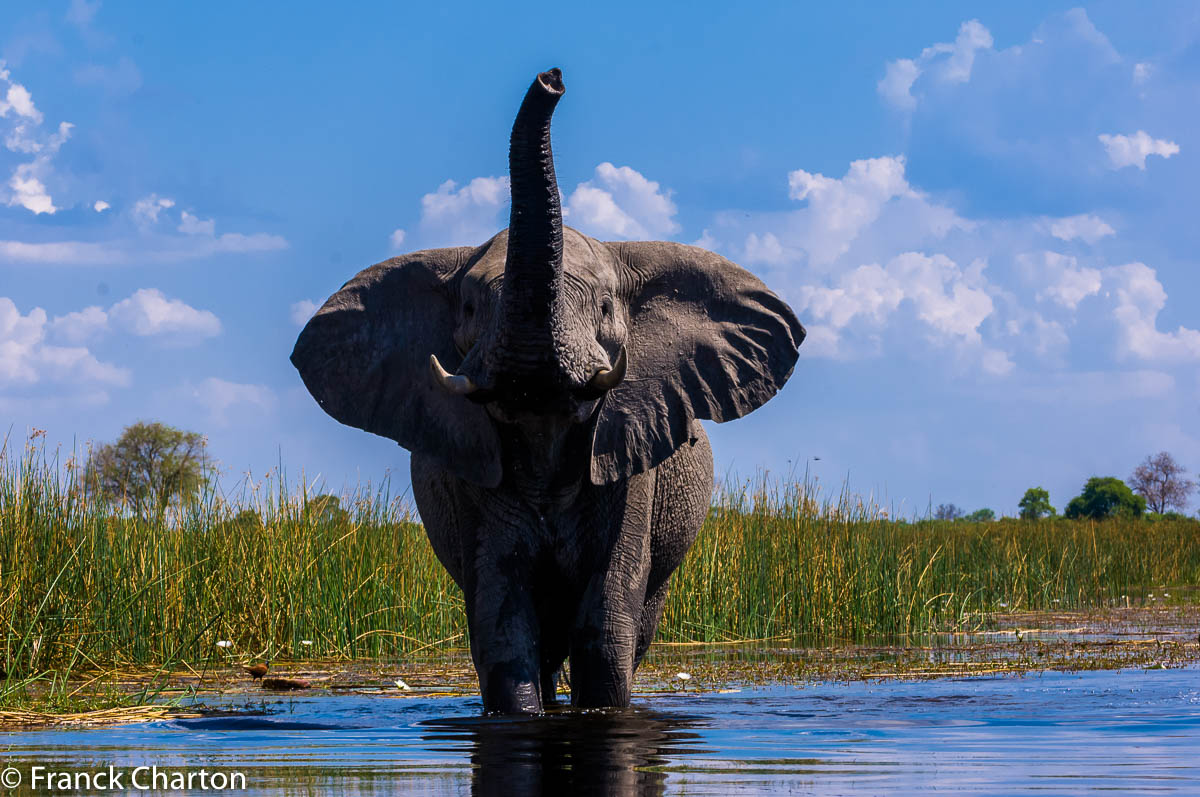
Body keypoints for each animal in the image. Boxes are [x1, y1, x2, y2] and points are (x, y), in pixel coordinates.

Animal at [288, 68, 806, 710]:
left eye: (606, 307)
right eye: (468, 308)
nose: (552, 79)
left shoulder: (630, 460)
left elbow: (607, 620)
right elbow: (503, 616)